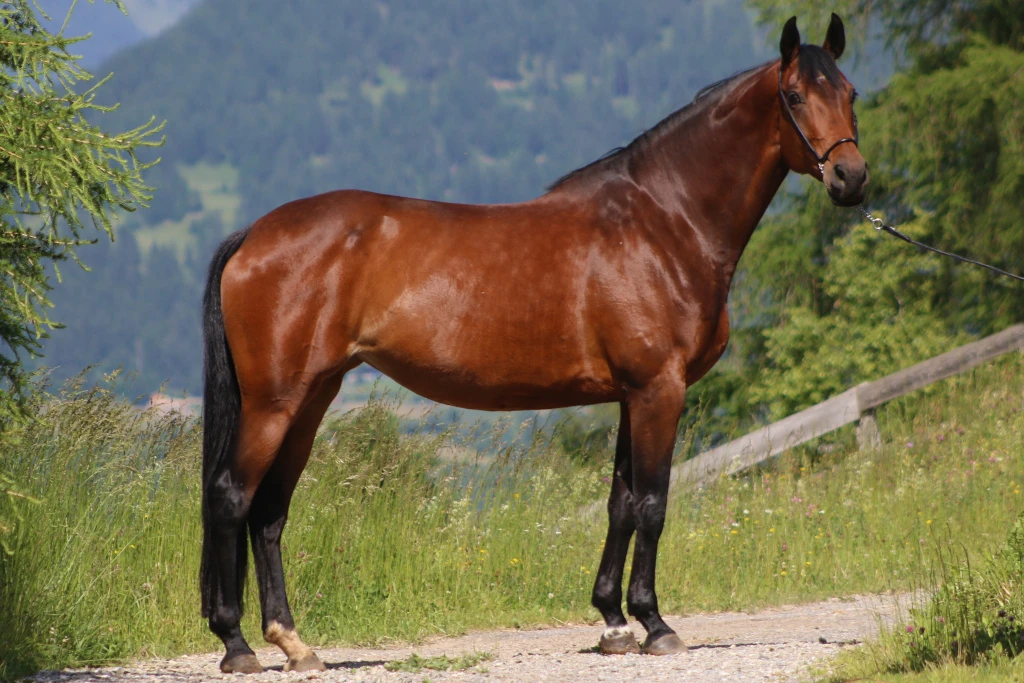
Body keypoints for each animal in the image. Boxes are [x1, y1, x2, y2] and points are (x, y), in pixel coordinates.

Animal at [199, 14, 867, 673]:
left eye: (851, 93)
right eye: (794, 95)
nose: (851, 177)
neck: (663, 224)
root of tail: (254, 235)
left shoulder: (631, 395)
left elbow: (621, 502)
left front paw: (613, 622)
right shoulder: (659, 389)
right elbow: (652, 502)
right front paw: (654, 624)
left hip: (312, 398)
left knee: (270, 510)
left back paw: (293, 643)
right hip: (275, 403)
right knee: (232, 496)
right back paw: (237, 645)